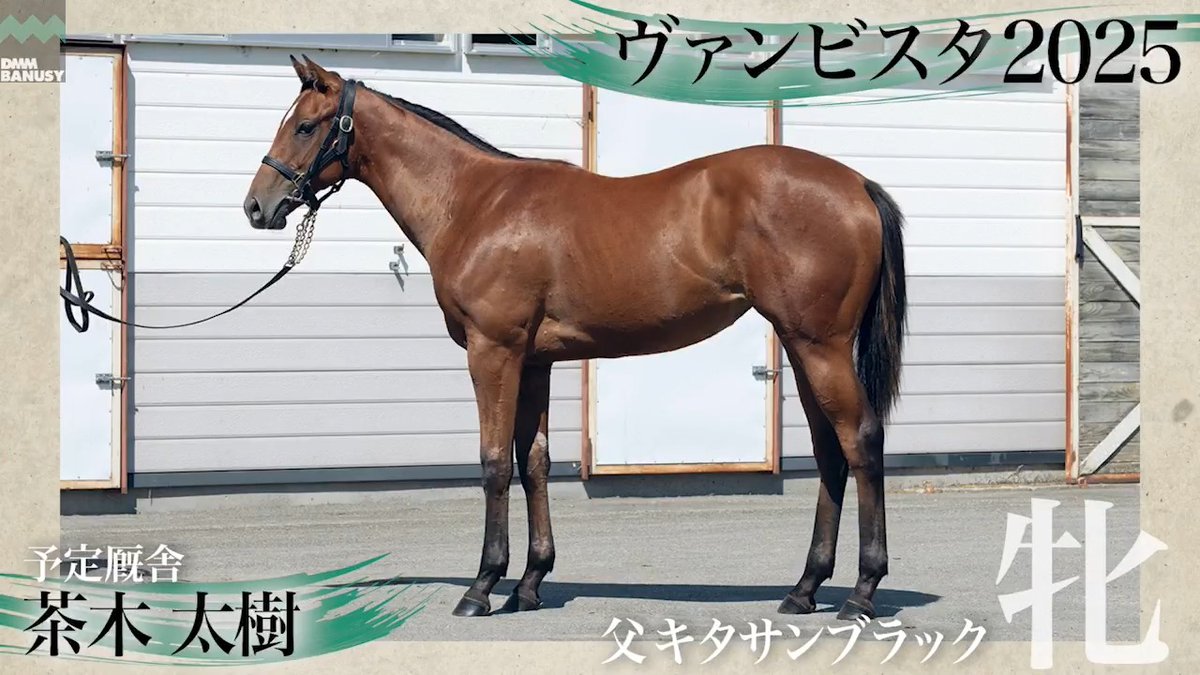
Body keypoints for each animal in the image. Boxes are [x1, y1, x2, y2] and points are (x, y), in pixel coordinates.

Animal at [243, 55, 907, 621]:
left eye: (305, 126)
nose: (257, 206)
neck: (475, 203)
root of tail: (857, 184)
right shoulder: (534, 362)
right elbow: (533, 461)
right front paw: (530, 583)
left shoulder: (493, 352)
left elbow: (493, 463)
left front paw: (482, 587)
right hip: (801, 346)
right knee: (829, 452)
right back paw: (804, 589)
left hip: (819, 345)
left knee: (861, 440)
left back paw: (862, 591)